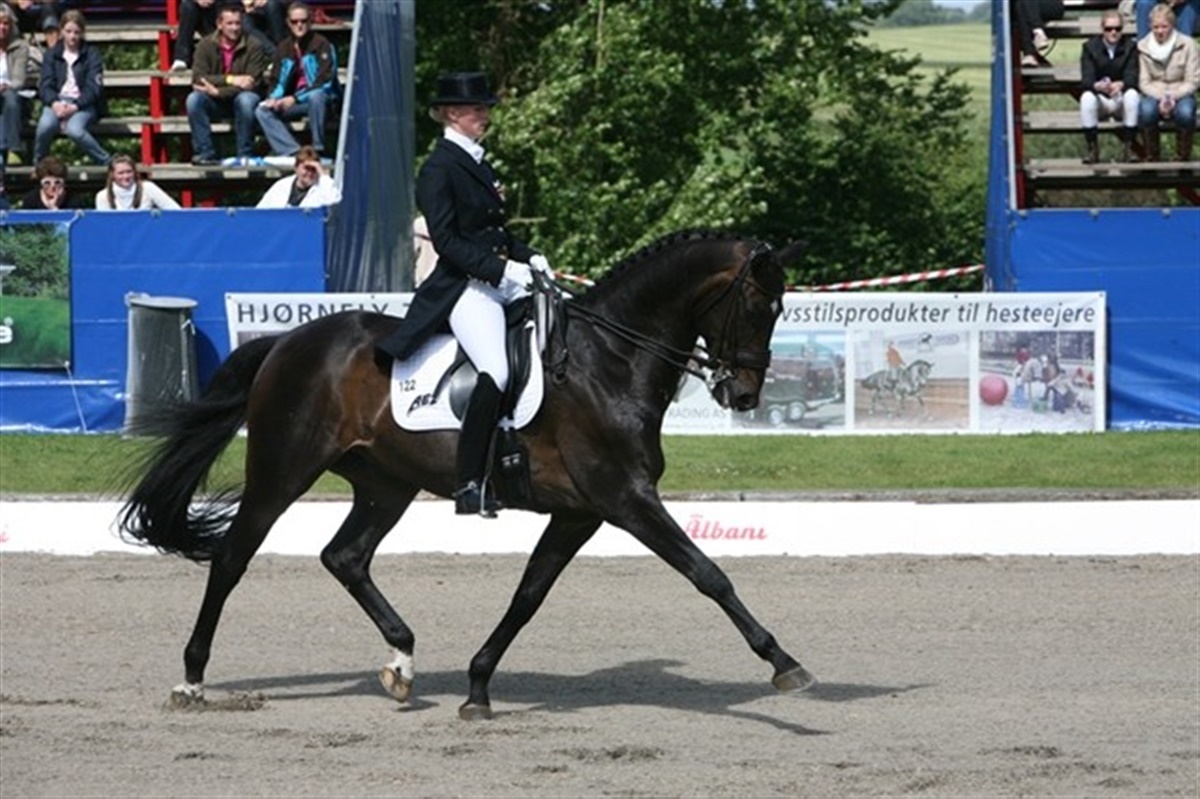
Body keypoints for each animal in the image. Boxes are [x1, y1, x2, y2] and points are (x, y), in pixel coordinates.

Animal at [118, 230, 814, 720]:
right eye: (758, 306)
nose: (744, 395)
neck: (610, 361)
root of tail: (287, 343)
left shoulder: (580, 512)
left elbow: (528, 596)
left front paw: (478, 686)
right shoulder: (625, 498)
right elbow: (708, 573)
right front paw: (785, 663)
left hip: (386, 484)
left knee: (345, 556)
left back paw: (401, 662)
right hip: (283, 469)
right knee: (232, 558)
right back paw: (191, 680)